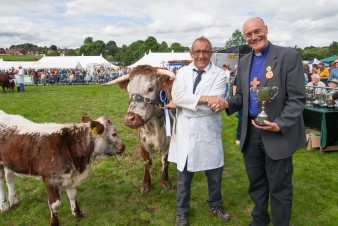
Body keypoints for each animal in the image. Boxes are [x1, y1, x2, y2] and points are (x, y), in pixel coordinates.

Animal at [102, 64, 174, 193]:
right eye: (129, 90)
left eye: (150, 88)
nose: (129, 118)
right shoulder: (143, 141)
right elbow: (147, 162)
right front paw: (146, 184)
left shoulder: (169, 141)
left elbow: (165, 161)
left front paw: (165, 181)